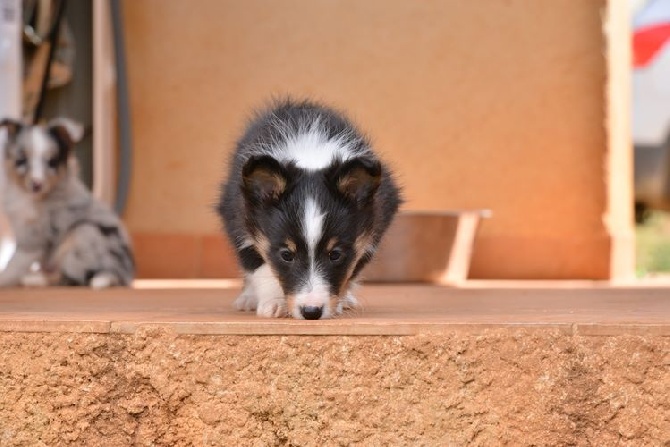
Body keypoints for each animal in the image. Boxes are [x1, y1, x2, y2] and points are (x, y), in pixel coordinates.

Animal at [0, 117, 135, 288]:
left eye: (52, 162)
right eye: (21, 160)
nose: (37, 184)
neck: (30, 196)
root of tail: (120, 275)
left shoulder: (34, 239)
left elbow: (14, 263)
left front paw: (4, 278)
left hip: (84, 234)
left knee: (72, 278)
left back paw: (35, 279)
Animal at [218, 100, 402, 320]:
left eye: (335, 255)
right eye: (286, 255)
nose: (311, 312)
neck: (310, 157)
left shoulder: (374, 225)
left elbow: (352, 268)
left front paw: (339, 301)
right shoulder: (238, 218)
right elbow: (262, 266)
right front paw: (273, 303)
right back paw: (247, 299)